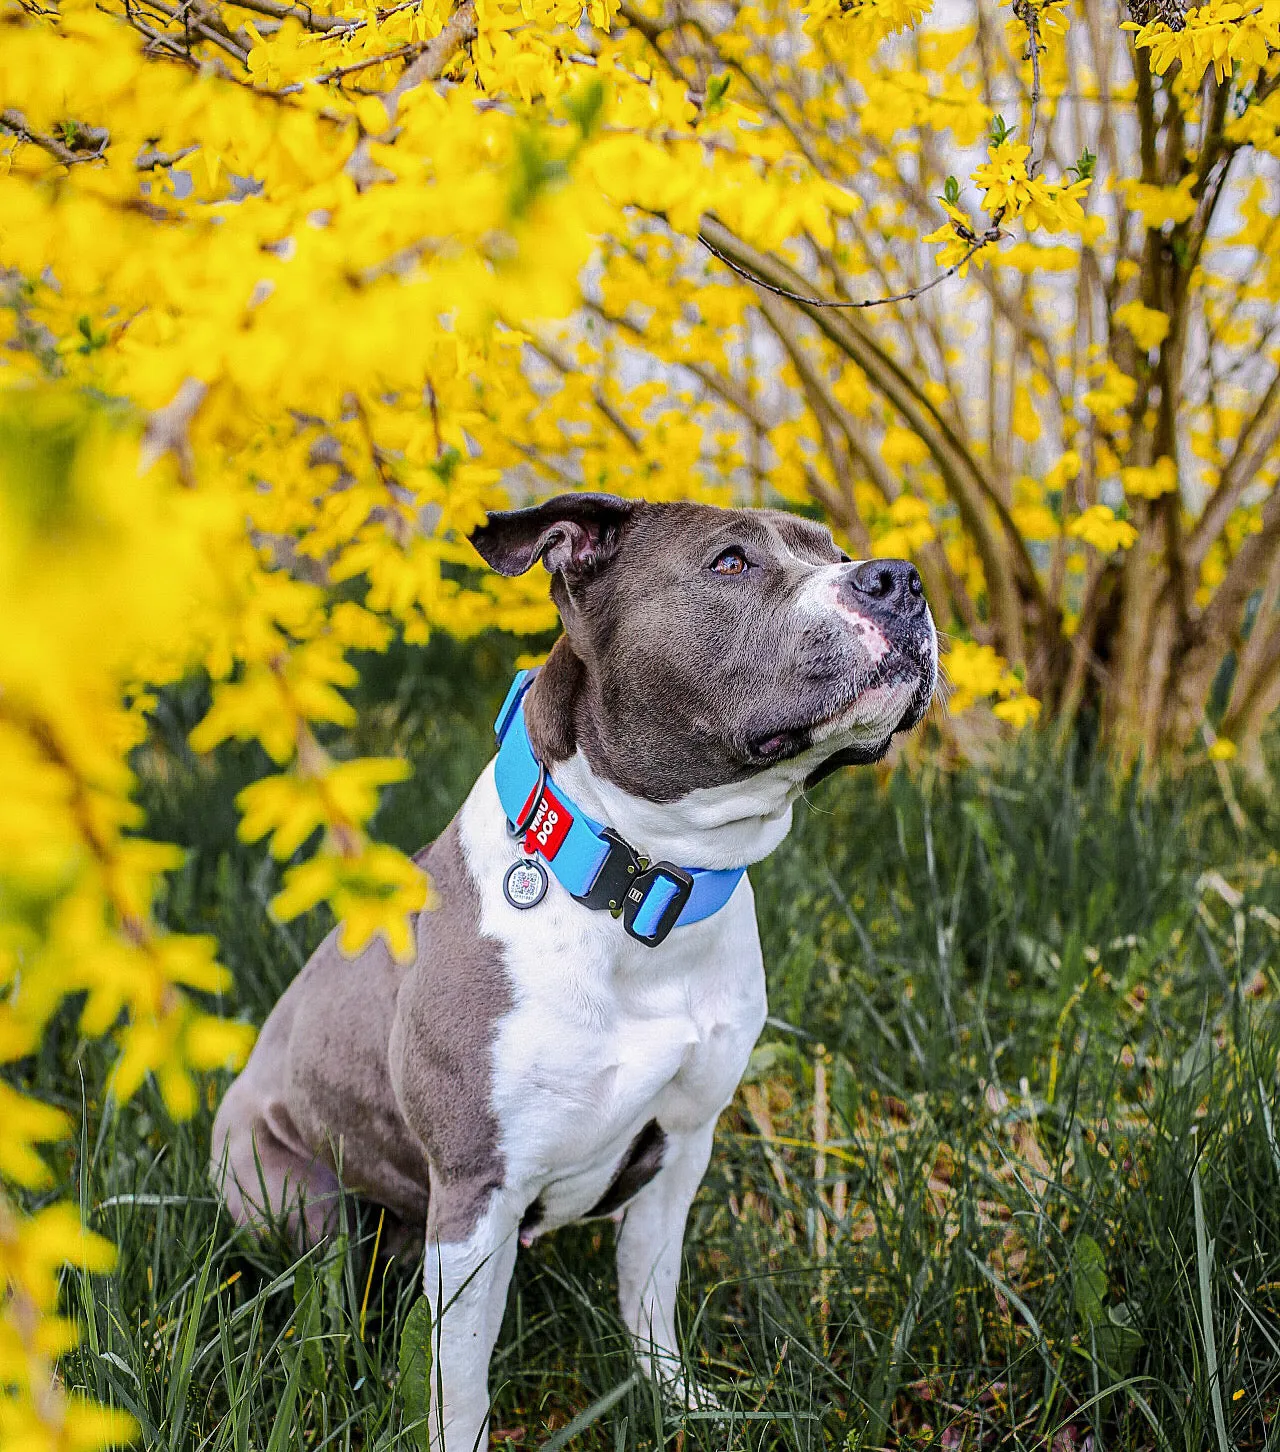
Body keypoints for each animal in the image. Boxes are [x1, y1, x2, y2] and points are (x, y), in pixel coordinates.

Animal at [207, 493, 928, 1446]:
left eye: (837, 552)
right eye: (730, 562)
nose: (901, 579)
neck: (639, 886)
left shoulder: (682, 1145)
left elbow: (649, 1298)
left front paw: (680, 1404)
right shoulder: (475, 1195)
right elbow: (460, 1378)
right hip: (297, 1193)